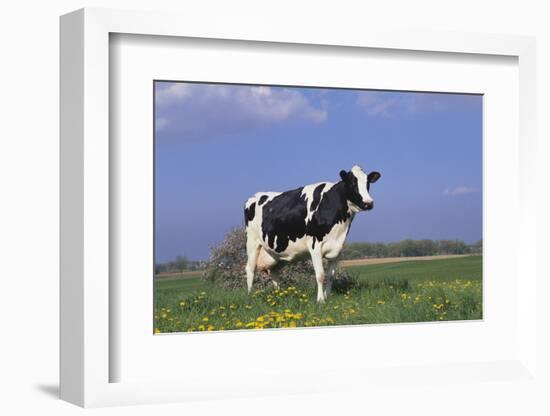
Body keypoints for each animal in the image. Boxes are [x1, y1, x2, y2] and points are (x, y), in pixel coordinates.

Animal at [244, 165, 382, 302]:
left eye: (368, 183)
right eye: (353, 182)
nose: (368, 203)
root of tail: (254, 196)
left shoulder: (338, 248)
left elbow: (330, 275)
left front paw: (328, 296)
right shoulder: (315, 244)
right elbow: (320, 275)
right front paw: (320, 300)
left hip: (276, 253)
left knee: (274, 272)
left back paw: (279, 295)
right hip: (252, 242)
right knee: (250, 269)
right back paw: (250, 296)